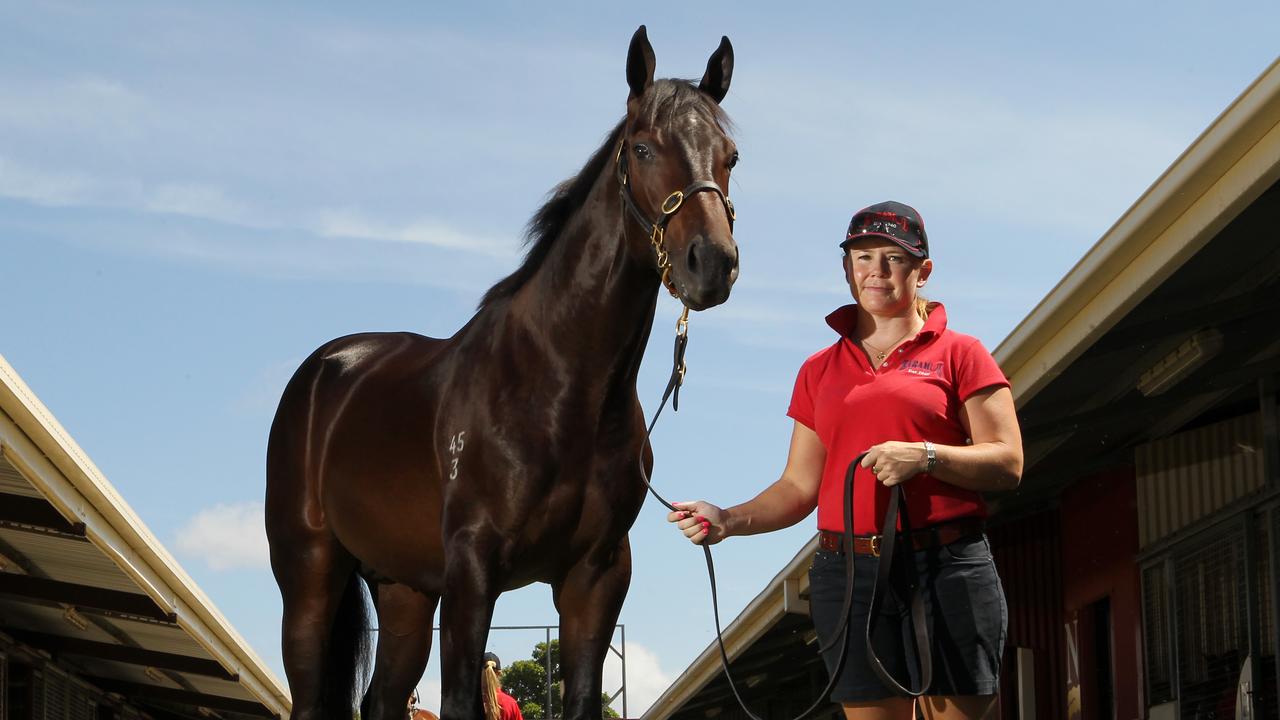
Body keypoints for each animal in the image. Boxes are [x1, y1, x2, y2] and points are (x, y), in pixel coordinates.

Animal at [262, 25, 742, 717]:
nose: (713, 263)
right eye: (644, 147)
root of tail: (322, 373)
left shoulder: (595, 577)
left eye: (730, 155)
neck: (561, 388)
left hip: (404, 591)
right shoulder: (472, 569)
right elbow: (462, 699)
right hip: (309, 575)